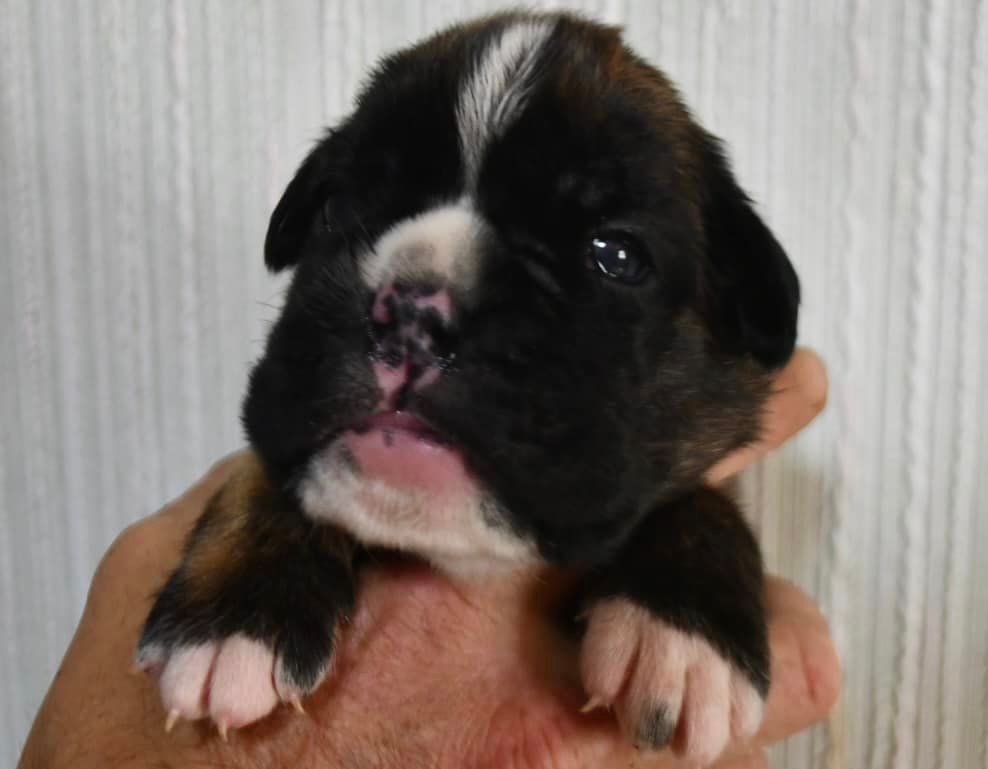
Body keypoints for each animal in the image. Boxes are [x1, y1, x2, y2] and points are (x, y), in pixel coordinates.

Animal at [136, 11, 799, 764]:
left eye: (618, 255)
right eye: (336, 208)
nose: (412, 310)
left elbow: (699, 494)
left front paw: (685, 630)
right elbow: (263, 470)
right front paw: (236, 611)